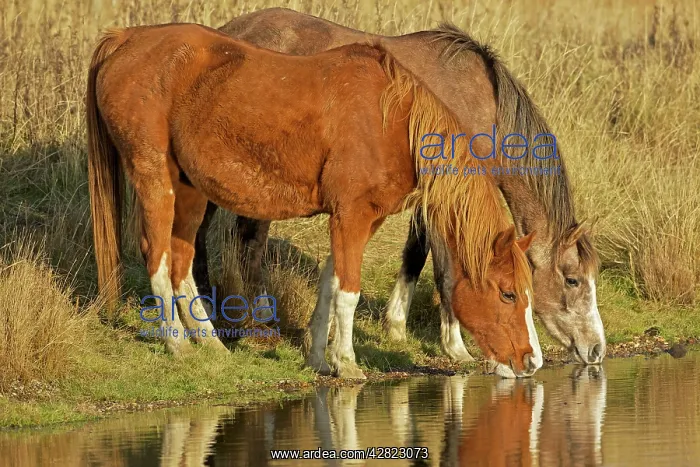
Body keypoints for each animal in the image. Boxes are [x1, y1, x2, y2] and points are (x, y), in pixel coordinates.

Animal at [86, 23, 542, 379]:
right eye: (508, 294)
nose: (532, 361)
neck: (391, 122)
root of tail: (125, 39)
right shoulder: (352, 216)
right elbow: (348, 291)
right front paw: (348, 362)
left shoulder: (358, 219)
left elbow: (330, 283)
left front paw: (321, 359)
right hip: (154, 178)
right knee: (158, 256)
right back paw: (177, 343)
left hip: (190, 189)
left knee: (181, 261)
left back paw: (210, 343)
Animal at [190, 8, 606, 365]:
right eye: (572, 279)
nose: (597, 349)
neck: (481, 106)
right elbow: (445, 267)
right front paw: (455, 346)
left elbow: (414, 254)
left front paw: (395, 325)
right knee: (237, 237)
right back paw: (238, 317)